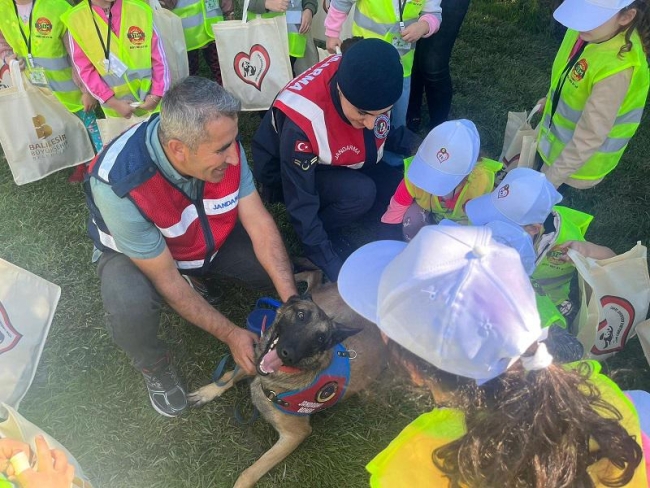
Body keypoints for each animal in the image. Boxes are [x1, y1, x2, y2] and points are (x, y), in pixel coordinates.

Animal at [186, 274, 384, 488]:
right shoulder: (253, 358)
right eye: (301, 315)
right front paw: (208, 391)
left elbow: (250, 472)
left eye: (320, 338)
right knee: (314, 275)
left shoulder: (295, 435)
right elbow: (228, 376)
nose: (286, 353)